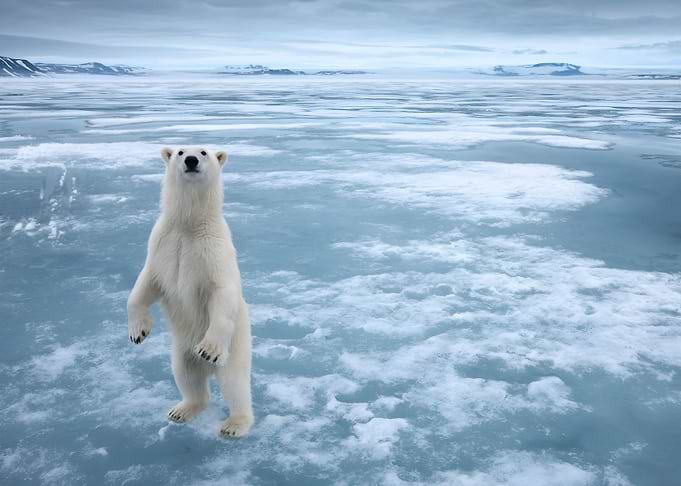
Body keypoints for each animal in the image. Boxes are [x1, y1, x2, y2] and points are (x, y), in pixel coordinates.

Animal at [127, 146, 253, 438]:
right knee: (186, 376)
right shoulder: (162, 244)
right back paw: (181, 410)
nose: (191, 160)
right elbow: (145, 285)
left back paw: (234, 424)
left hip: (236, 347)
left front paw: (208, 348)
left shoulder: (214, 251)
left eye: (204, 152)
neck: (188, 224)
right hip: (181, 350)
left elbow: (222, 293)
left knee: (235, 383)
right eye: (180, 151)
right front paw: (138, 332)